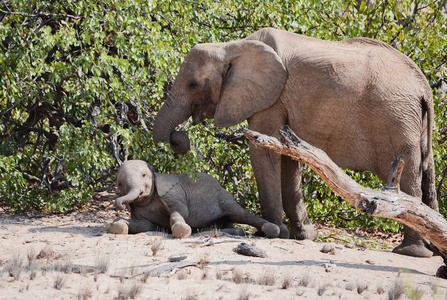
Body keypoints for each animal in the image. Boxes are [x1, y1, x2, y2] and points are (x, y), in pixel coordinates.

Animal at [107, 159, 280, 239]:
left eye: (144, 175)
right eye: (119, 183)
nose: (120, 206)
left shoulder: (174, 193)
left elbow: (179, 213)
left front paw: (181, 230)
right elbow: (143, 225)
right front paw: (118, 223)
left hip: (224, 197)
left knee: (240, 214)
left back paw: (272, 230)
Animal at [152, 28, 440, 258]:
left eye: (193, 84)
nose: (179, 140)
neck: (232, 47)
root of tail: (423, 86)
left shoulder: (271, 98)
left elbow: (263, 151)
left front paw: (273, 232)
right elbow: (289, 159)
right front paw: (305, 236)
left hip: (396, 122)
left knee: (408, 182)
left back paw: (411, 252)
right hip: (412, 124)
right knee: (426, 175)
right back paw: (433, 250)